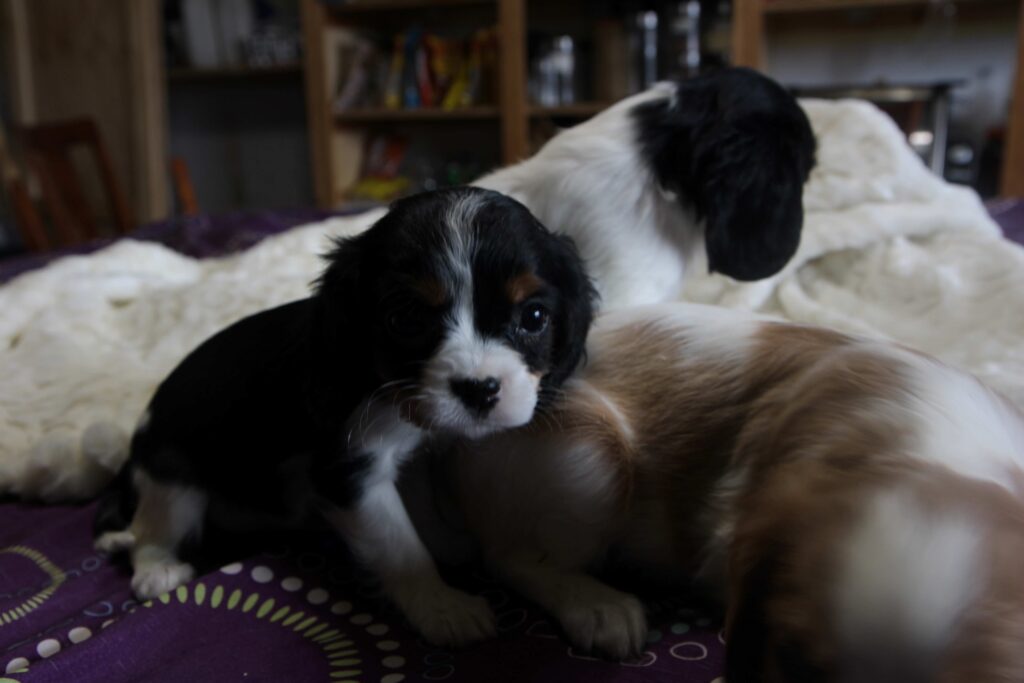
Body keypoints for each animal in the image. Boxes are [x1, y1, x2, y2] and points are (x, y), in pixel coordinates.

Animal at [93, 187, 597, 648]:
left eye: (534, 317)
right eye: (406, 320)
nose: (480, 388)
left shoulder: (411, 455)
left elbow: (420, 509)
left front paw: (451, 545)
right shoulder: (346, 470)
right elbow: (398, 543)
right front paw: (442, 607)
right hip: (174, 478)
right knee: (149, 531)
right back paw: (157, 569)